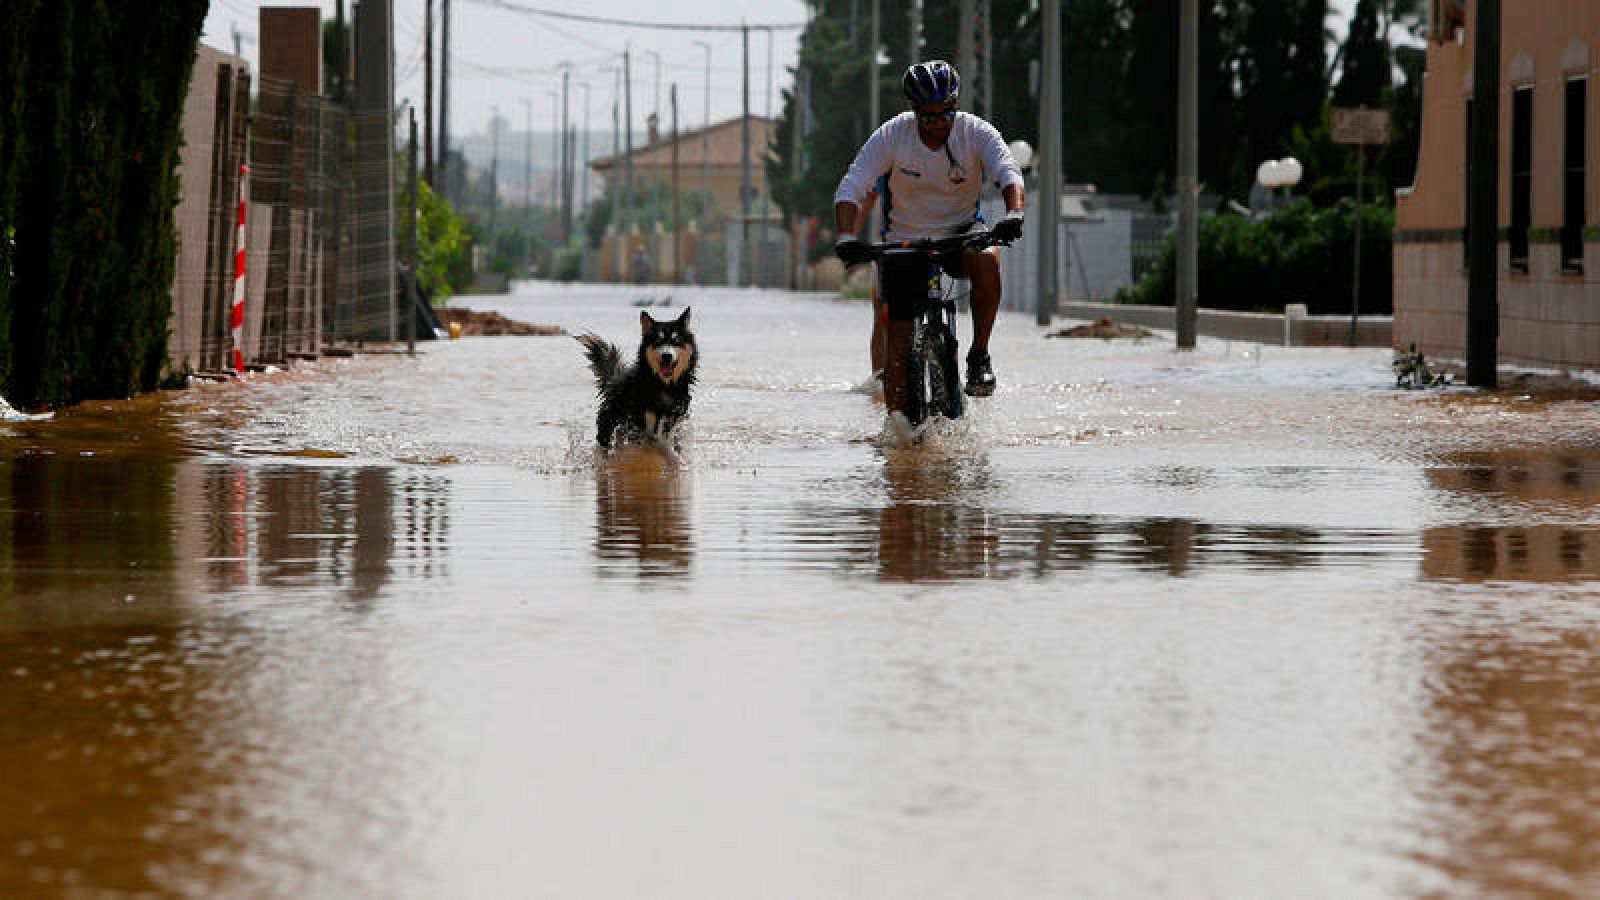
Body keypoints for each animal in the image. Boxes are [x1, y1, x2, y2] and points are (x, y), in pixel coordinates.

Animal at [579, 305, 697, 448]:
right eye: (657, 341)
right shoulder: (639, 427)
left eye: (676, 341)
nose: (667, 356)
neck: (664, 386)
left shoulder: (676, 423)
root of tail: (616, 381)